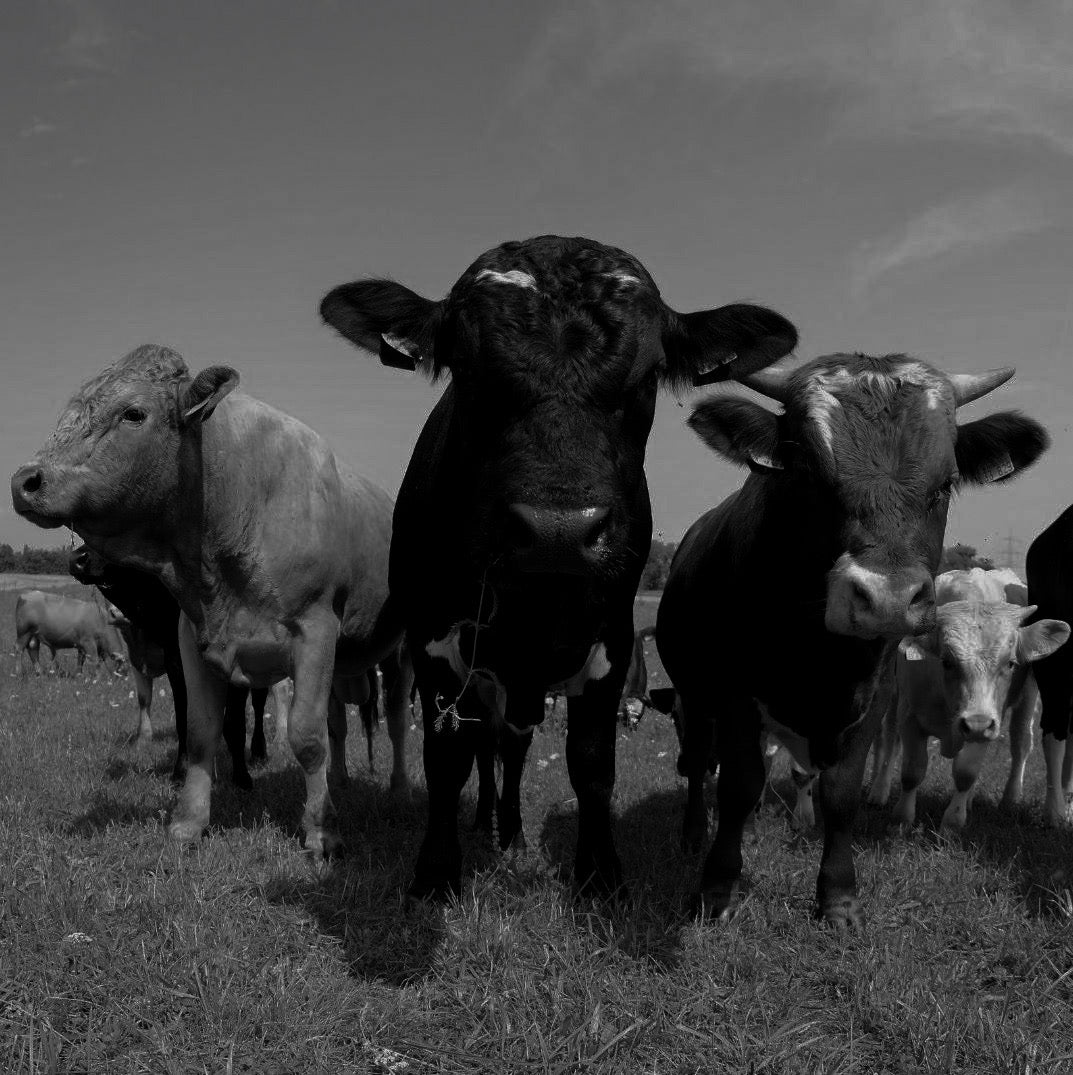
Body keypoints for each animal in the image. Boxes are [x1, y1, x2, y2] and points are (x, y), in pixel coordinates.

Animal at [68, 544, 272, 789]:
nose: (76, 559)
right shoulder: (175, 661)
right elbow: (184, 721)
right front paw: (181, 771)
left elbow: (235, 723)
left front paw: (241, 778)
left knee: (259, 704)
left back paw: (259, 752)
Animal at [321, 233, 798, 899]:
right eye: (466, 368)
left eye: (649, 374)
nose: (557, 531)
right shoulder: (434, 641)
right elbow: (448, 760)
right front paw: (436, 872)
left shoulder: (612, 642)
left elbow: (592, 764)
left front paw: (600, 874)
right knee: (489, 746)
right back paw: (488, 824)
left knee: (513, 748)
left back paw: (512, 832)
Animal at [867, 569, 1068, 830]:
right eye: (946, 661)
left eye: (1010, 663)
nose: (975, 724)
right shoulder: (911, 715)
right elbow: (912, 771)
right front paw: (902, 818)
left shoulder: (988, 720)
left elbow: (966, 773)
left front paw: (953, 820)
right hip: (893, 692)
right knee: (889, 736)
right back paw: (879, 790)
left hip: (1028, 695)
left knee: (1021, 741)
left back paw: (1008, 799)